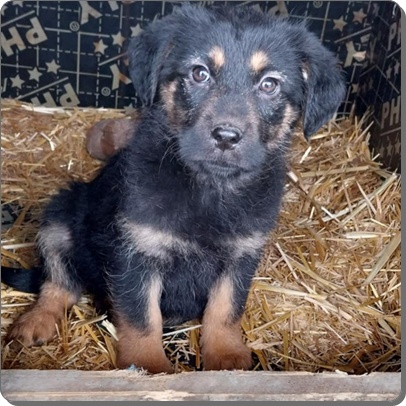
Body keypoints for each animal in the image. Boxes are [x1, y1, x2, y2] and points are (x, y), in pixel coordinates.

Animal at [7, 4, 345, 373]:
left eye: (269, 84)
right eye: (199, 74)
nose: (226, 136)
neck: (208, 188)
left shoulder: (241, 255)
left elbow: (225, 310)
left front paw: (227, 359)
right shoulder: (137, 253)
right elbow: (142, 318)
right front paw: (148, 367)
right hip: (60, 214)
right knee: (58, 283)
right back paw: (35, 321)